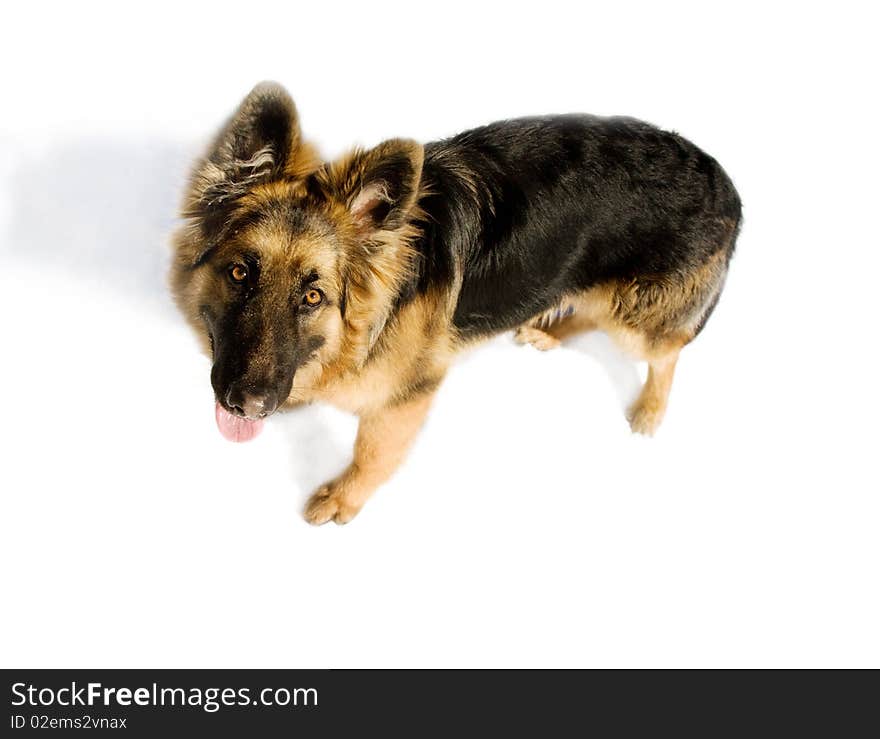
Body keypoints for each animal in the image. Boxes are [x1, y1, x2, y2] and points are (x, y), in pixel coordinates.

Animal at [168, 82, 740, 528]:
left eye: (313, 297)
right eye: (240, 273)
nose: (249, 405)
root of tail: (726, 183)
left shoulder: (407, 396)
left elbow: (372, 452)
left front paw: (343, 498)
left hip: (637, 320)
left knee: (667, 353)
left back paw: (650, 408)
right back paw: (550, 331)